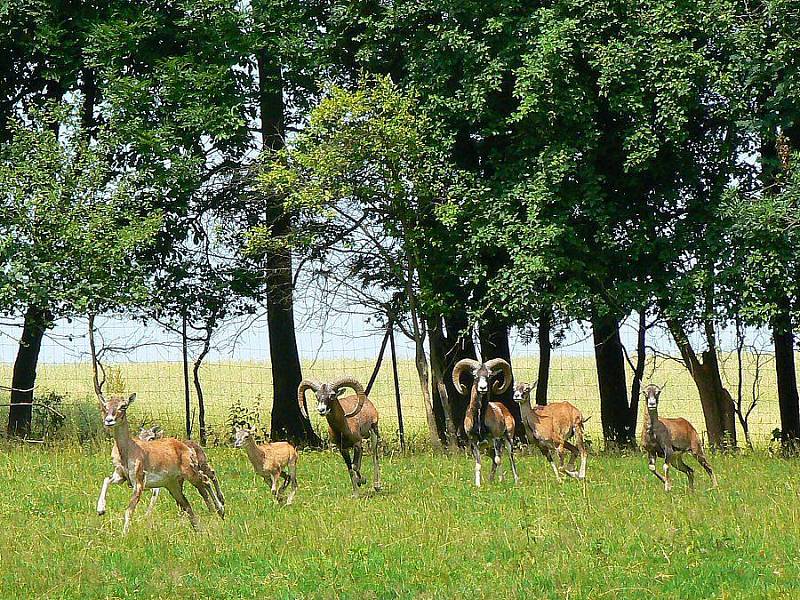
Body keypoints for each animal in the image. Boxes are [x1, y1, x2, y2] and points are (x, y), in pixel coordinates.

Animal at [450, 358, 520, 486]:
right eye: (475, 376)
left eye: (489, 376)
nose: (483, 388)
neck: (479, 421)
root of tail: (504, 409)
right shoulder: (473, 442)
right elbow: (478, 465)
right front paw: (478, 485)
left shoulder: (496, 438)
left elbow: (498, 460)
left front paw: (501, 481)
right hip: (489, 448)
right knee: (494, 459)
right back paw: (491, 480)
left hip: (508, 439)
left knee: (510, 457)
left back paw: (516, 481)